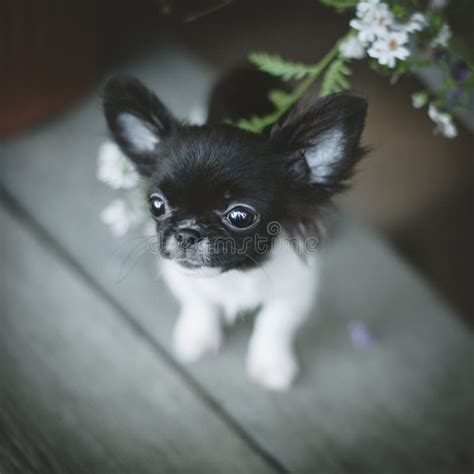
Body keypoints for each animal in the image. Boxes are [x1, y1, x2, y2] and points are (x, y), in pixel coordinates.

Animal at [103, 69, 368, 388]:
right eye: (156, 205)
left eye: (240, 216)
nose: (186, 233)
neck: (234, 274)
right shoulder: (180, 277)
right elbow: (199, 304)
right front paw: (198, 336)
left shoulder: (296, 287)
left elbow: (275, 322)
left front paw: (270, 363)